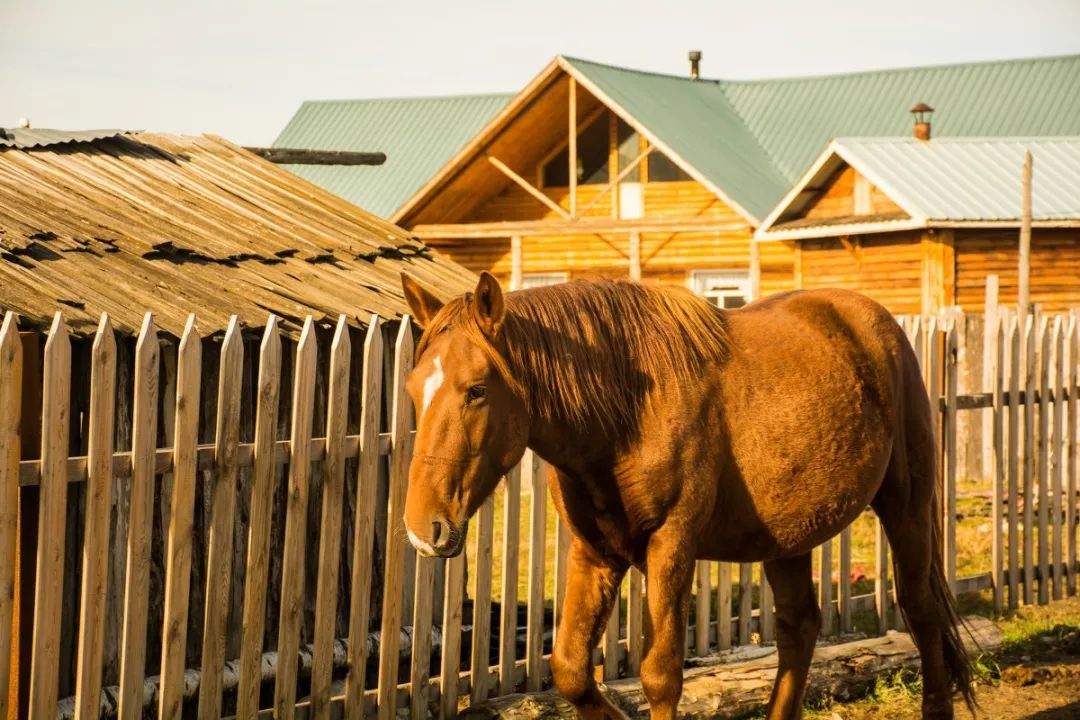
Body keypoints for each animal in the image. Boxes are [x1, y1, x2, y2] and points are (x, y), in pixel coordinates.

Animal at [401, 272, 976, 720]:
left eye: (477, 390)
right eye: (412, 390)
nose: (424, 527)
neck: (625, 412)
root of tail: (875, 323)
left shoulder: (671, 548)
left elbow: (660, 676)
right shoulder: (594, 554)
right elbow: (569, 670)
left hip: (906, 507)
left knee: (920, 608)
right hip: (789, 535)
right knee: (799, 627)